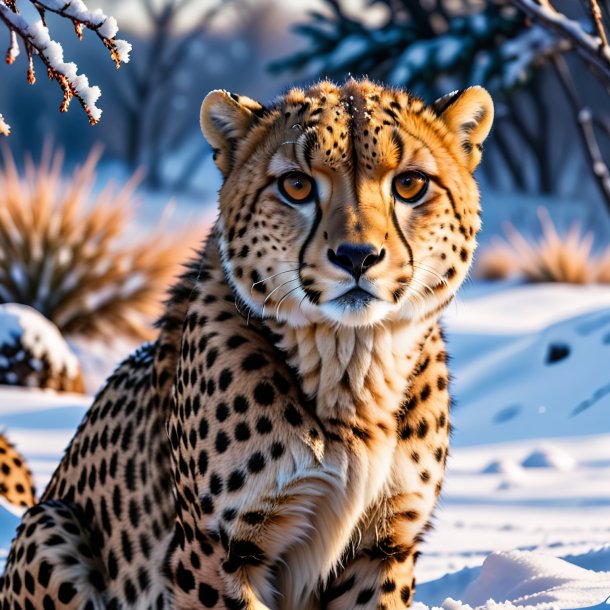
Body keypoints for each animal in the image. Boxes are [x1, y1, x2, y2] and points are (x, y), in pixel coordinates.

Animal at [0, 81, 492, 608]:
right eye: (296, 186)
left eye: (410, 185)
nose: (357, 256)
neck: (351, 367)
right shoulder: (218, 549)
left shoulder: (385, 545)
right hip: (49, 522)